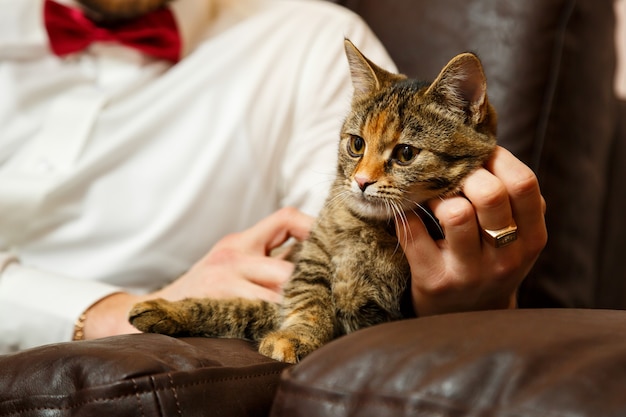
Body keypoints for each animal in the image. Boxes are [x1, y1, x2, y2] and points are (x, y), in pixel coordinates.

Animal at [129, 40, 494, 362]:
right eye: (357, 144)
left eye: (406, 153)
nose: (362, 181)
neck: (365, 232)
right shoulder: (313, 259)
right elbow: (278, 303)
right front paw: (168, 308)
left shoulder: (378, 312)